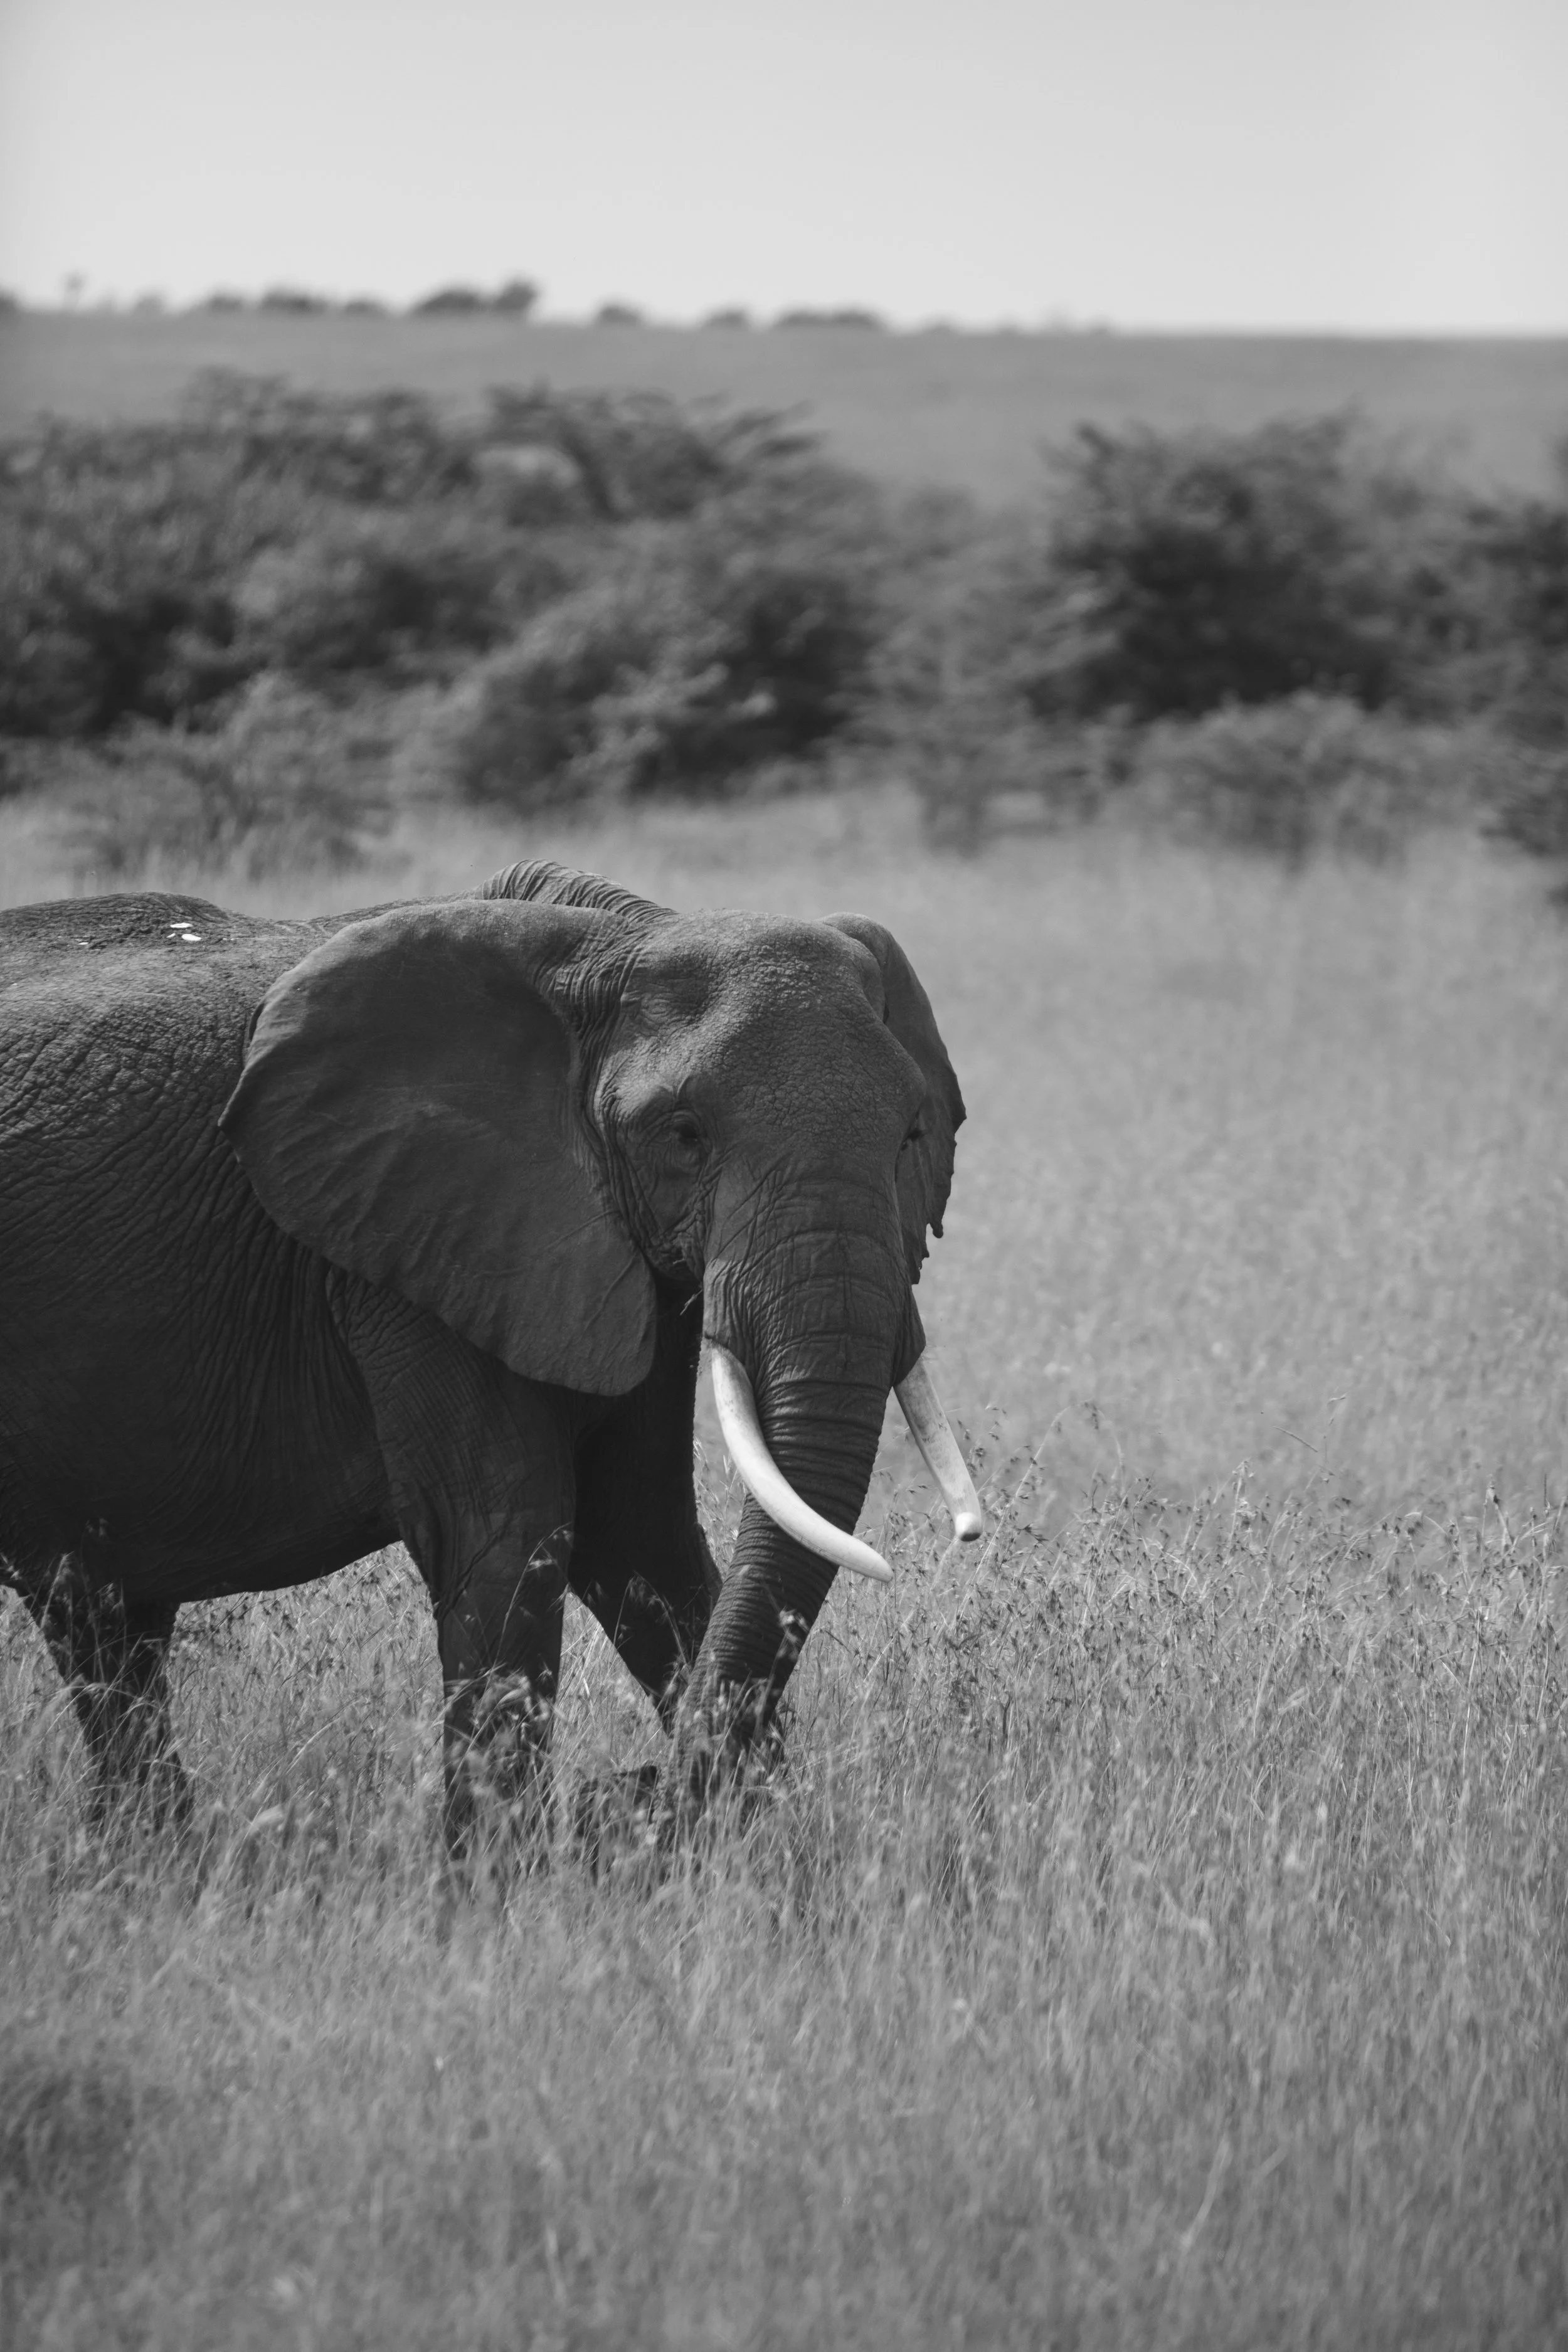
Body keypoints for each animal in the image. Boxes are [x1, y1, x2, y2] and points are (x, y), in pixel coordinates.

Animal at [0, 858, 980, 1846]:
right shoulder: (412, 1243)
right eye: (683, 1135)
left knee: (102, 1627)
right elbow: (508, 1535)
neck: (614, 942)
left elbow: (642, 1533)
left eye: (913, 1134)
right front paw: (497, 1876)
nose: (629, 1790)